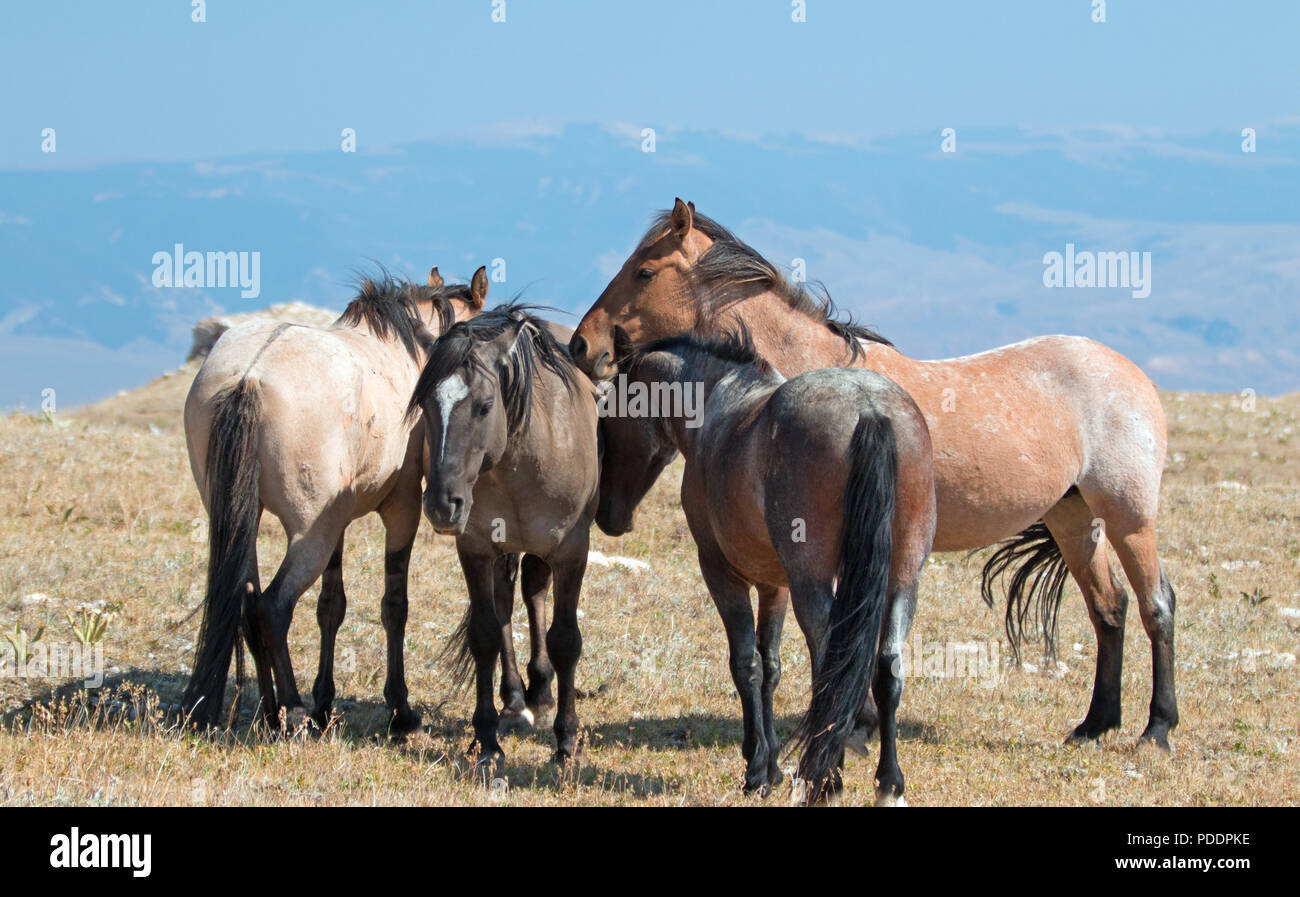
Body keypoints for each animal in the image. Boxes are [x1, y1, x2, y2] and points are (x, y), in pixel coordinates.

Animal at [181, 266, 487, 731]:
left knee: (247, 604)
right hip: (312, 535)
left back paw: (271, 711)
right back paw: (292, 710)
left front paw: (325, 702)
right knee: (271, 607)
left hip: (250, 522)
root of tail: (249, 377)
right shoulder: (402, 509)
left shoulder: (338, 520)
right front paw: (399, 711)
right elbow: (394, 605)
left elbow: (331, 606)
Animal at [407, 304, 600, 764]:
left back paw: (541, 695)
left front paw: (566, 743)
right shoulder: (476, 549)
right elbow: (485, 634)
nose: (442, 504)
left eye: (484, 405)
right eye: (425, 404)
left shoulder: (572, 551)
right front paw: (486, 738)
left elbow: (566, 640)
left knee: (533, 593)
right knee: (508, 603)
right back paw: (514, 701)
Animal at [570, 199, 1180, 752]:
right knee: (1109, 609)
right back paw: (1095, 725)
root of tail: (1130, 372)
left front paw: (850, 728)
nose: (581, 344)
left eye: (644, 272)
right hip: (1073, 518)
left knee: (1157, 607)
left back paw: (1157, 729)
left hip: (1129, 520)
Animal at [595, 330, 936, 803]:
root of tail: (869, 408)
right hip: (903, 579)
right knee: (887, 669)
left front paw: (757, 769)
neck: (720, 403)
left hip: (814, 584)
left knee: (834, 666)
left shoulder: (722, 574)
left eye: (609, 416)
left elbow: (747, 664)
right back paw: (887, 781)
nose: (608, 516)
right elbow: (771, 665)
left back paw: (825, 776)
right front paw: (771, 763)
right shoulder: (776, 586)